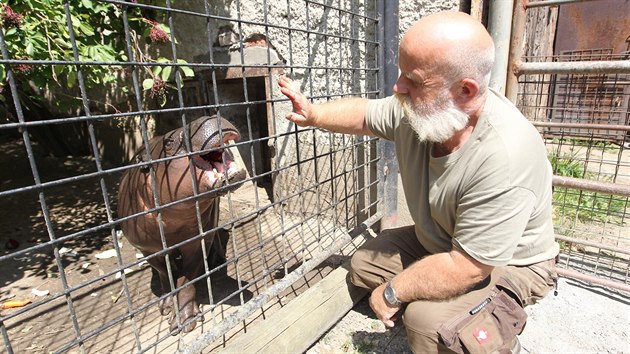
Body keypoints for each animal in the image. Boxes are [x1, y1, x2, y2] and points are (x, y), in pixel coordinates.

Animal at [118, 115, 247, 334]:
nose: (208, 115)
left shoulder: (196, 242)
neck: (175, 222)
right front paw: (166, 306)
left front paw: (186, 320)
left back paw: (218, 260)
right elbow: (165, 274)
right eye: (169, 142)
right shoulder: (147, 249)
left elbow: (187, 280)